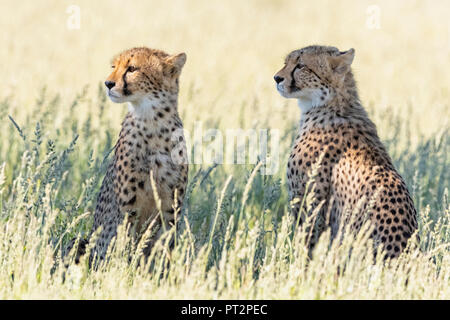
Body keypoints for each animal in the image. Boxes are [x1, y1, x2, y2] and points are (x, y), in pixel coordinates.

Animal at [69, 47, 189, 268]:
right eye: (114, 66)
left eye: (132, 68)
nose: (108, 83)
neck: (153, 122)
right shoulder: (128, 212)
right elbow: (125, 251)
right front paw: (123, 272)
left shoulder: (170, 211)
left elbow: (163, 253)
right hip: (83, 242)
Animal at [274, 45, 418, 258]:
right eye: (287, 62)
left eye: (300, 65)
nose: (277, 78)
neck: (331, 105)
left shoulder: (309, 205)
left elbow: (306, 247)